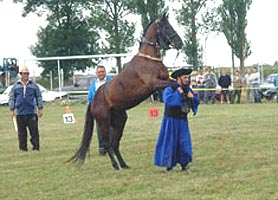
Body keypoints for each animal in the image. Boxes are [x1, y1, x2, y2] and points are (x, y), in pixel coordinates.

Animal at [68, 13, 184, 170]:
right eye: (166, 27)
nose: (179, 43)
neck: (149, 60)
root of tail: (93, 100)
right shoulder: (154, 84)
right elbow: (174, 84)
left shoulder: (164, 80)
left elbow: (175, 82)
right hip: (104, 122)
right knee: (107, 143)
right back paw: (116, 165)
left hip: (120, 121)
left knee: (114, 143)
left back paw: (124, 165)